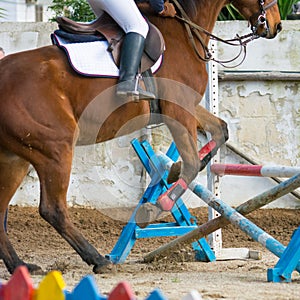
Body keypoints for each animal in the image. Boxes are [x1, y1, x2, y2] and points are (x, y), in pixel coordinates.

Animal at [0, 0, 282, 274]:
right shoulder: (178, 109)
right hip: (55, 149)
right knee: (53, 209)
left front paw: (172, 172)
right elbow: (192, 164)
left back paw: (20, 266)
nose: (276, 25)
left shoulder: (186, 107)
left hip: (15, 158)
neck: (185, 31)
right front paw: (157, 205)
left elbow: (220, 132)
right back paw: (98, 260)